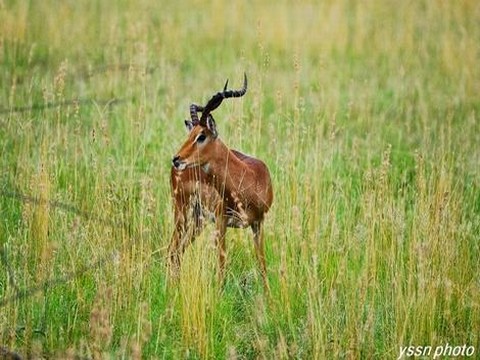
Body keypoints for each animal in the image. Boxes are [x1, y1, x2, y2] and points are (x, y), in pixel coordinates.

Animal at [169, 74, 274, 290]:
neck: (249, 179)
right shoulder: (221, 221)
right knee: (172, 250)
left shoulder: (259, 222)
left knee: (178, 251)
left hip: (198, 221)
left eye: (201, 136)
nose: (176, 159)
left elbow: (261, 264)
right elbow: (222, 263)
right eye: (190, 135)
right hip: (182, 213)